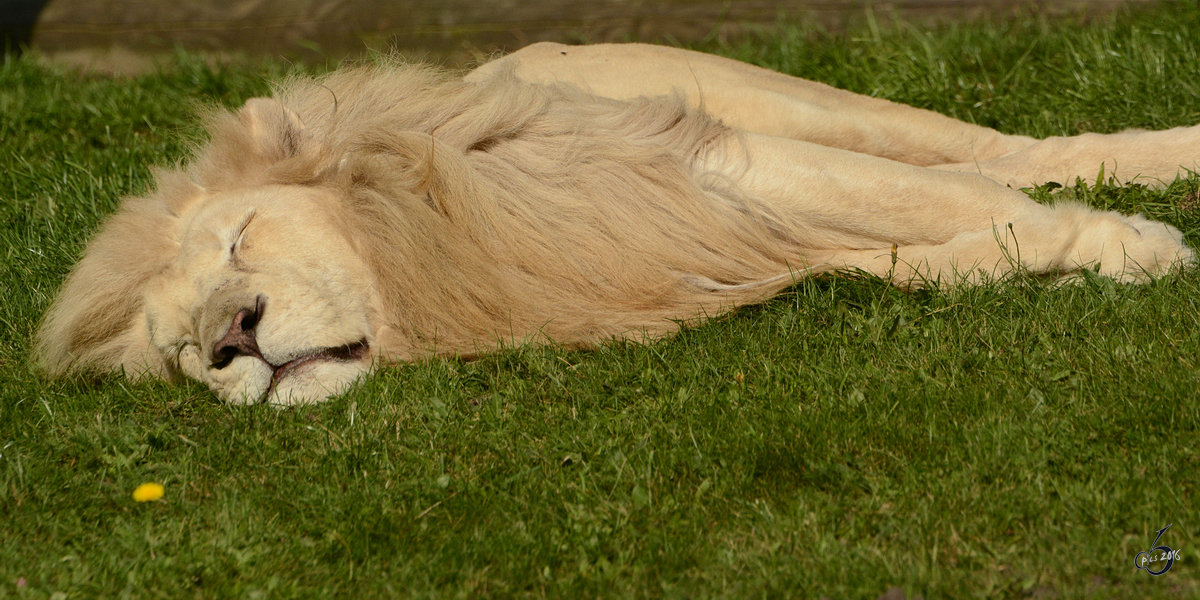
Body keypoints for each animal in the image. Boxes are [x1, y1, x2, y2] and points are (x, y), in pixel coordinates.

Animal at [37, 44, 1200, 405]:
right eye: (179, 352)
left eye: (239, 242)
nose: (230, 341)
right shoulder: (750, 245)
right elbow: (951, 244)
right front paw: (1082, 261)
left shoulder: (714, 169)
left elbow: (986, 204)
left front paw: (1138, 247)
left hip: (764, 98)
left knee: (1010, 154)